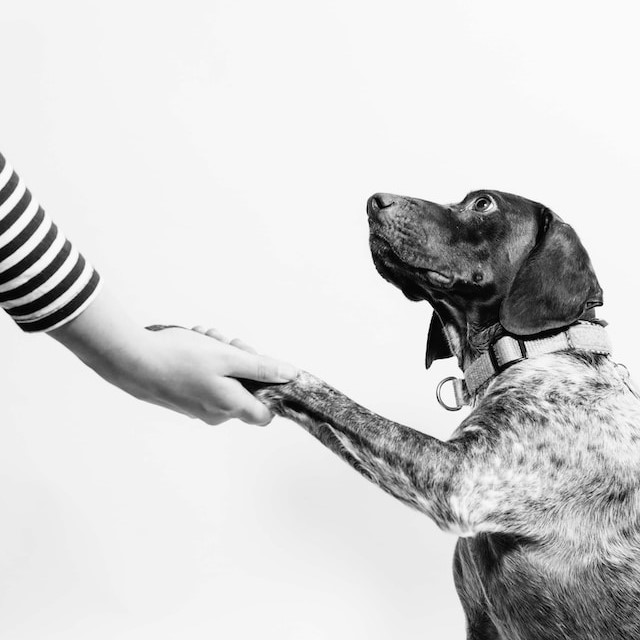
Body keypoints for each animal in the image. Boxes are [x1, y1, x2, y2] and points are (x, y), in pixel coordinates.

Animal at [252, 191, 640, 640]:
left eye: (483, 203)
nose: (373, 201)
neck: (534, 350)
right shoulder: (480, 621)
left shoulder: (457, 475)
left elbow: (329, 397)